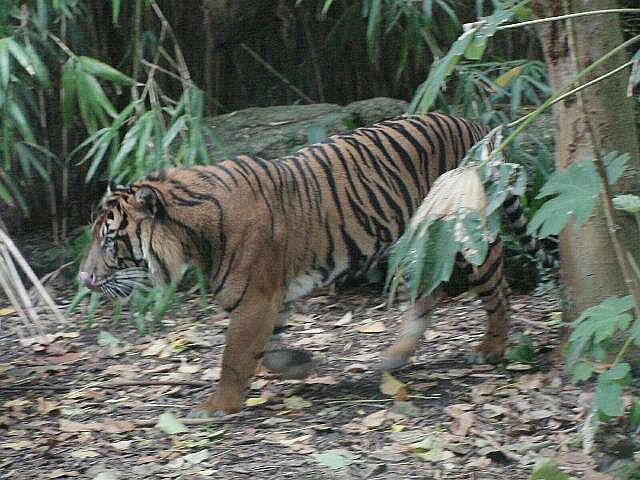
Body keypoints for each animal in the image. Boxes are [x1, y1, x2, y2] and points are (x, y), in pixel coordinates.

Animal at [79, 112, 545, 417]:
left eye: (109, 239)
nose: (84, 278)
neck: (195, 234)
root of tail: (475, 127)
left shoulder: (256, 298)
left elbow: (234, 357)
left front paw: (215, 406)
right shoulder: (272, 297)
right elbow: (265, 352)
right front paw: (302, 364)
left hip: (468, 238)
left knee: (498, 292)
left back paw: (490, 349)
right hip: (421, 241)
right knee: (427, 294)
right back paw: (395, 356)